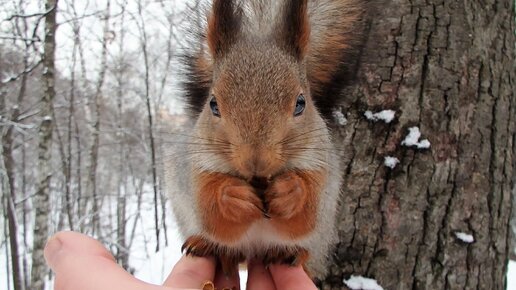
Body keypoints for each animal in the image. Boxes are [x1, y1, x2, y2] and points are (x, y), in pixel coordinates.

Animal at [164, 0, 362, 278]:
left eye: (301, 103)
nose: (255, 161)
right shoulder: (198, 169)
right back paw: (209, 246)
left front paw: (290, 191)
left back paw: (291, 253)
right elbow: (212, 214)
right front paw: (232, 195)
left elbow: (306, 215)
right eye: (213, 104)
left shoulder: (320, 168)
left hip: (322, 237)